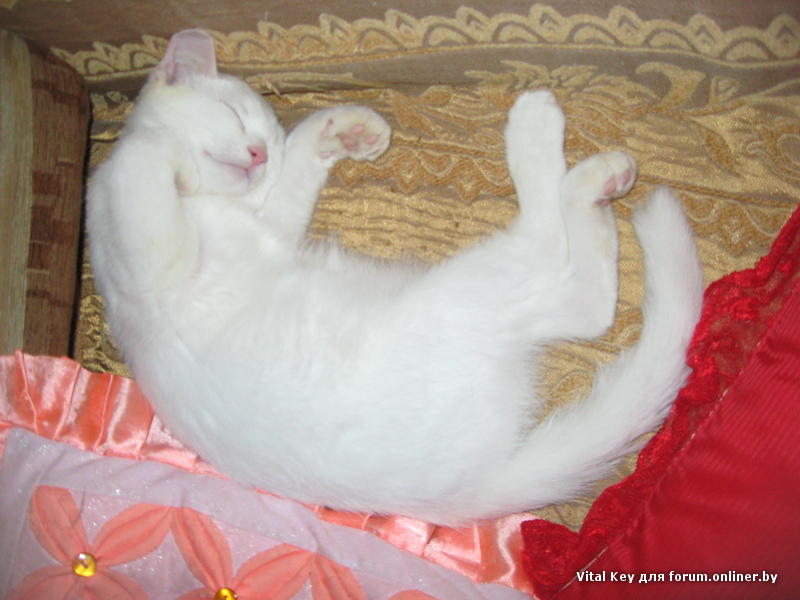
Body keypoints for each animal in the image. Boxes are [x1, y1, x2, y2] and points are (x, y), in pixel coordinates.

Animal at [87, 29, 703, 526]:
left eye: (266, 140)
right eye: (233, 116)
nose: (259, 153)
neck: (205, 202)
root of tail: (479, 487)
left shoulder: (269, 224)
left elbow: (288, 182)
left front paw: (337, 131)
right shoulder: (143, 236)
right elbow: (139, 161)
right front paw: (155, 148)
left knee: (581, 299)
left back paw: (594, 185)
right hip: (467, 291)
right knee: (556, 261)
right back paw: (555, 147)